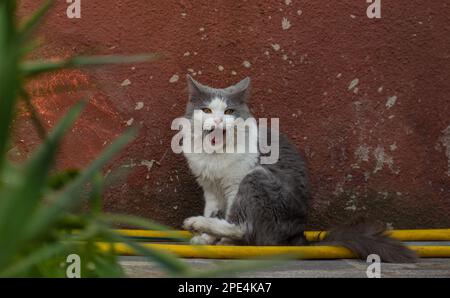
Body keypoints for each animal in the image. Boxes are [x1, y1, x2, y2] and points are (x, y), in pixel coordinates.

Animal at [179, 75, 414, 264]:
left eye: (229, 111)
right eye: (207, 110)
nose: (218, 120)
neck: (214, 154)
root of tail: (297, 237)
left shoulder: (234, 184)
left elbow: (231, 217)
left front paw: (217, 239)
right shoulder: (210, 189)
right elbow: (212, 209)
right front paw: (204, 239)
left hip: (258, 178)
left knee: (243, 228)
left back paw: (199, 224)